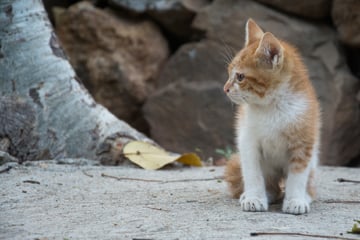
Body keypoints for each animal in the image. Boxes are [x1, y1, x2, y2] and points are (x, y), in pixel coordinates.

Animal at [222, 17, 320, 215]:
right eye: (229, 73)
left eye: (240, 77)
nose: (225, 88)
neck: (272, 107)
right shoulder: (248, 142)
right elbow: (253, 174)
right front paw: (254, 198)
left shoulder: (303, 143)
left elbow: (297, 176)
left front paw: (295, 200)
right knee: (271, 184)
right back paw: (262, 194)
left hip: (314, 159)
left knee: (308, 182)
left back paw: (305, 195)